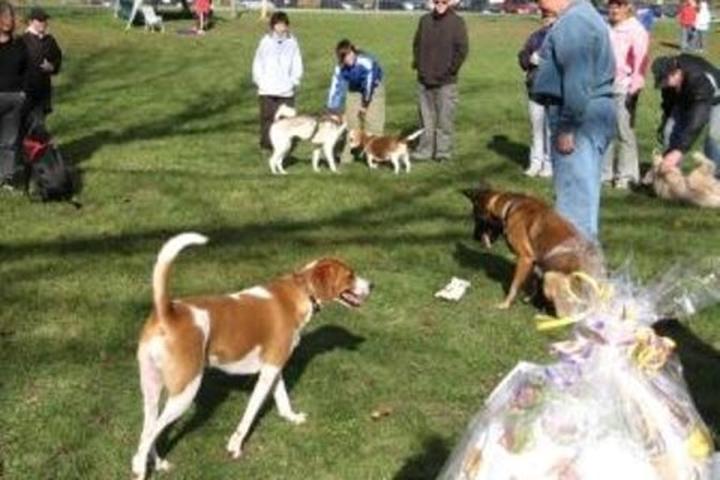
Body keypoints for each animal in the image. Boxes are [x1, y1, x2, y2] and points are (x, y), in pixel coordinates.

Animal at [130, 232, 374, 476]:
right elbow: (250, 413)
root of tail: (167, 312)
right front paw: (235, 445)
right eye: (350, 275)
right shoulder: (268, 372)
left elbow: (283, 399)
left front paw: (291, 418)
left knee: (148, 429)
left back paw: (157, 463)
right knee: (149, 435)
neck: (302, 291)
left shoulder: (273, 367)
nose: (373, 284)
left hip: (152, 391)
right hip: (185, 392)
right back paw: (139, 467)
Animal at [462, 188, 600, 316]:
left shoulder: (525, 258)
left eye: (477, 219)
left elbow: (514, 285)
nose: (474, 237)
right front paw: (529, 297)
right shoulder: (533, 261)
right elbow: (531, 281)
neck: (509, 206)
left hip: (550, 277)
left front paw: (506, 304)